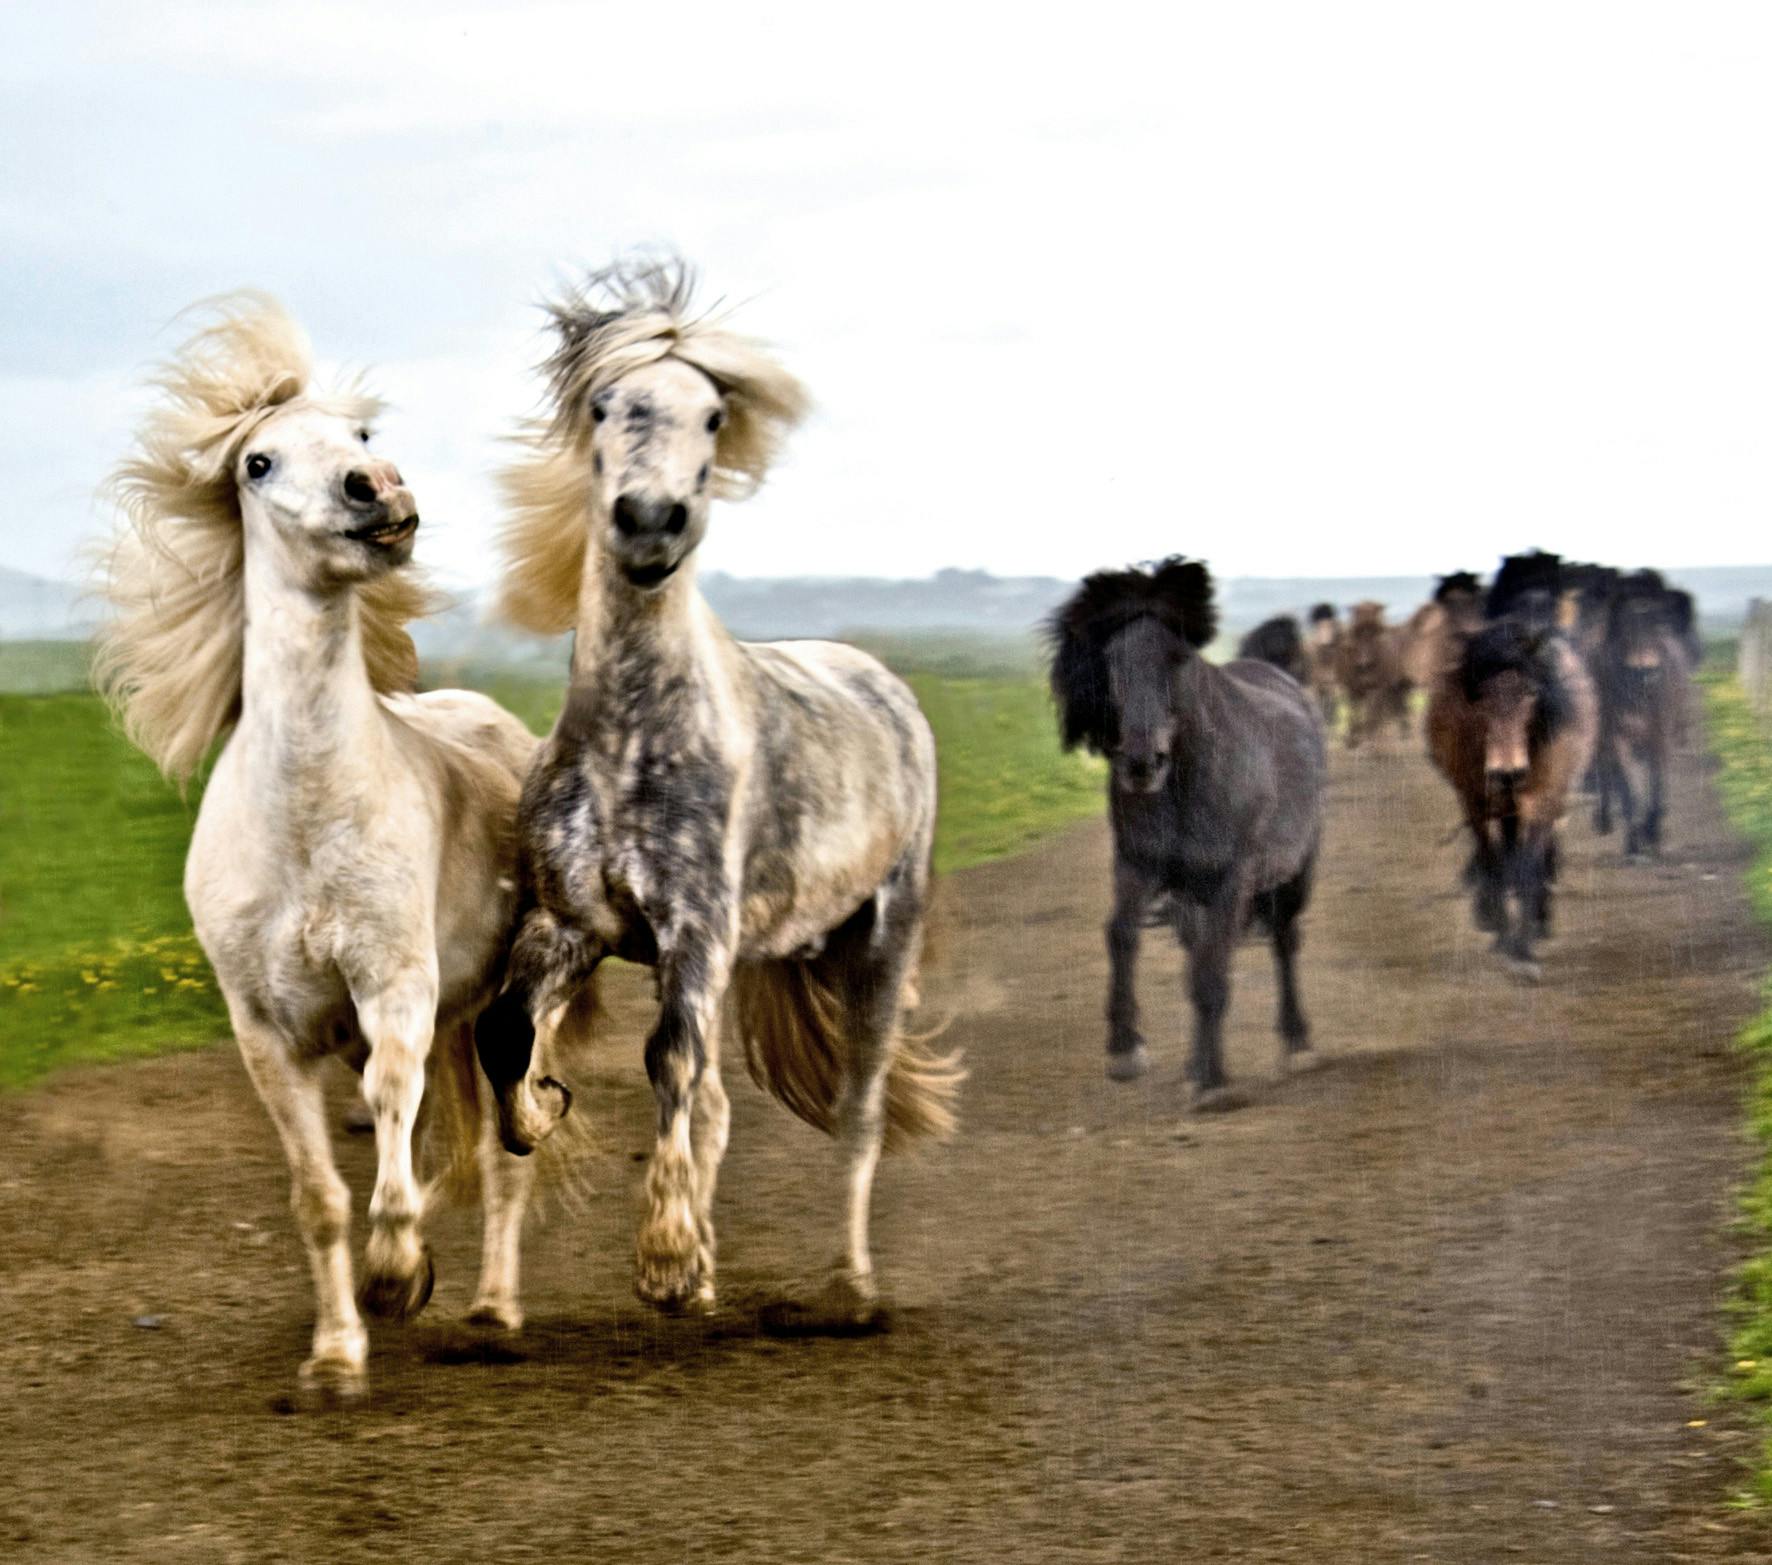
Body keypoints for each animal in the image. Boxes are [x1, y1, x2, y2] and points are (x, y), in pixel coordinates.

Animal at [478, 262, 963, 1325]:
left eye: (710, 415)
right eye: (605, 404)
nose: (649, 520)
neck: (631, 739)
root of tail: (884, 683)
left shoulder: (694, 929)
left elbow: (668, 1062)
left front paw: (664, 1261)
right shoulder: (571, 923)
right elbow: (505, 1032)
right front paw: (539, 1113)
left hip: (878, 942)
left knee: (857, 1108)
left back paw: (849, 1287)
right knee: (721, 1104)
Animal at [1041, 556, 1325, 1098]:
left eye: (1177, 657)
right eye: (1112, 658)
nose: (1140, 762)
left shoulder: (1232, 879)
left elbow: (1213, 974)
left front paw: (1214, 1084)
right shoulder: (1137, 865)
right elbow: (1122, 935)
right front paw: (1126, 1049)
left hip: (1294, 874)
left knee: (1284, 939)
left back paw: (1296, 1044)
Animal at [1431, 616, 1601, 971]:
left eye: (1530, 692)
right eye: (1481, 695)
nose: (1507, 773)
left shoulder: (1542, 801)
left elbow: (1528, 869)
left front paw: (1523, 948)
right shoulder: (1476, 804)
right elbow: (1494, 866)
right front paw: (1503, 934)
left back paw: (1540, 920)